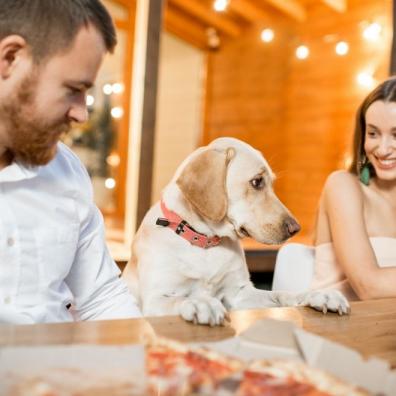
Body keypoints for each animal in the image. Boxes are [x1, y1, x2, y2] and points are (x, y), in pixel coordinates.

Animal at [122, 137, 348, 324]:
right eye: (257, 182)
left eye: (272, 183)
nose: (296, 228)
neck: (205, 242)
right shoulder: (156, 298)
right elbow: (177, 301)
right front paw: (200, 302)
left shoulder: (239, 294)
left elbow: (281, 293)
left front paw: (318, 295)